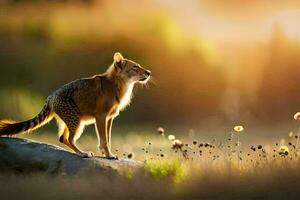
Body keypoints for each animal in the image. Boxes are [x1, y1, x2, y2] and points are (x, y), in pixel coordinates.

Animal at [0, 52, 151, 159]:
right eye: (135, 67)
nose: (149, 72)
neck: (118, 83)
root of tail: (51, 95)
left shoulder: (110, 118)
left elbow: (107, 139)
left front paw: (107, 154)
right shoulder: (101, 116)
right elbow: (104, 139)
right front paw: (109, 155)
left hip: (74, 121)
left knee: (63, 138)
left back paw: (80, 152)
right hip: (76, 121)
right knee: (69, 139)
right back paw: (82, 153)